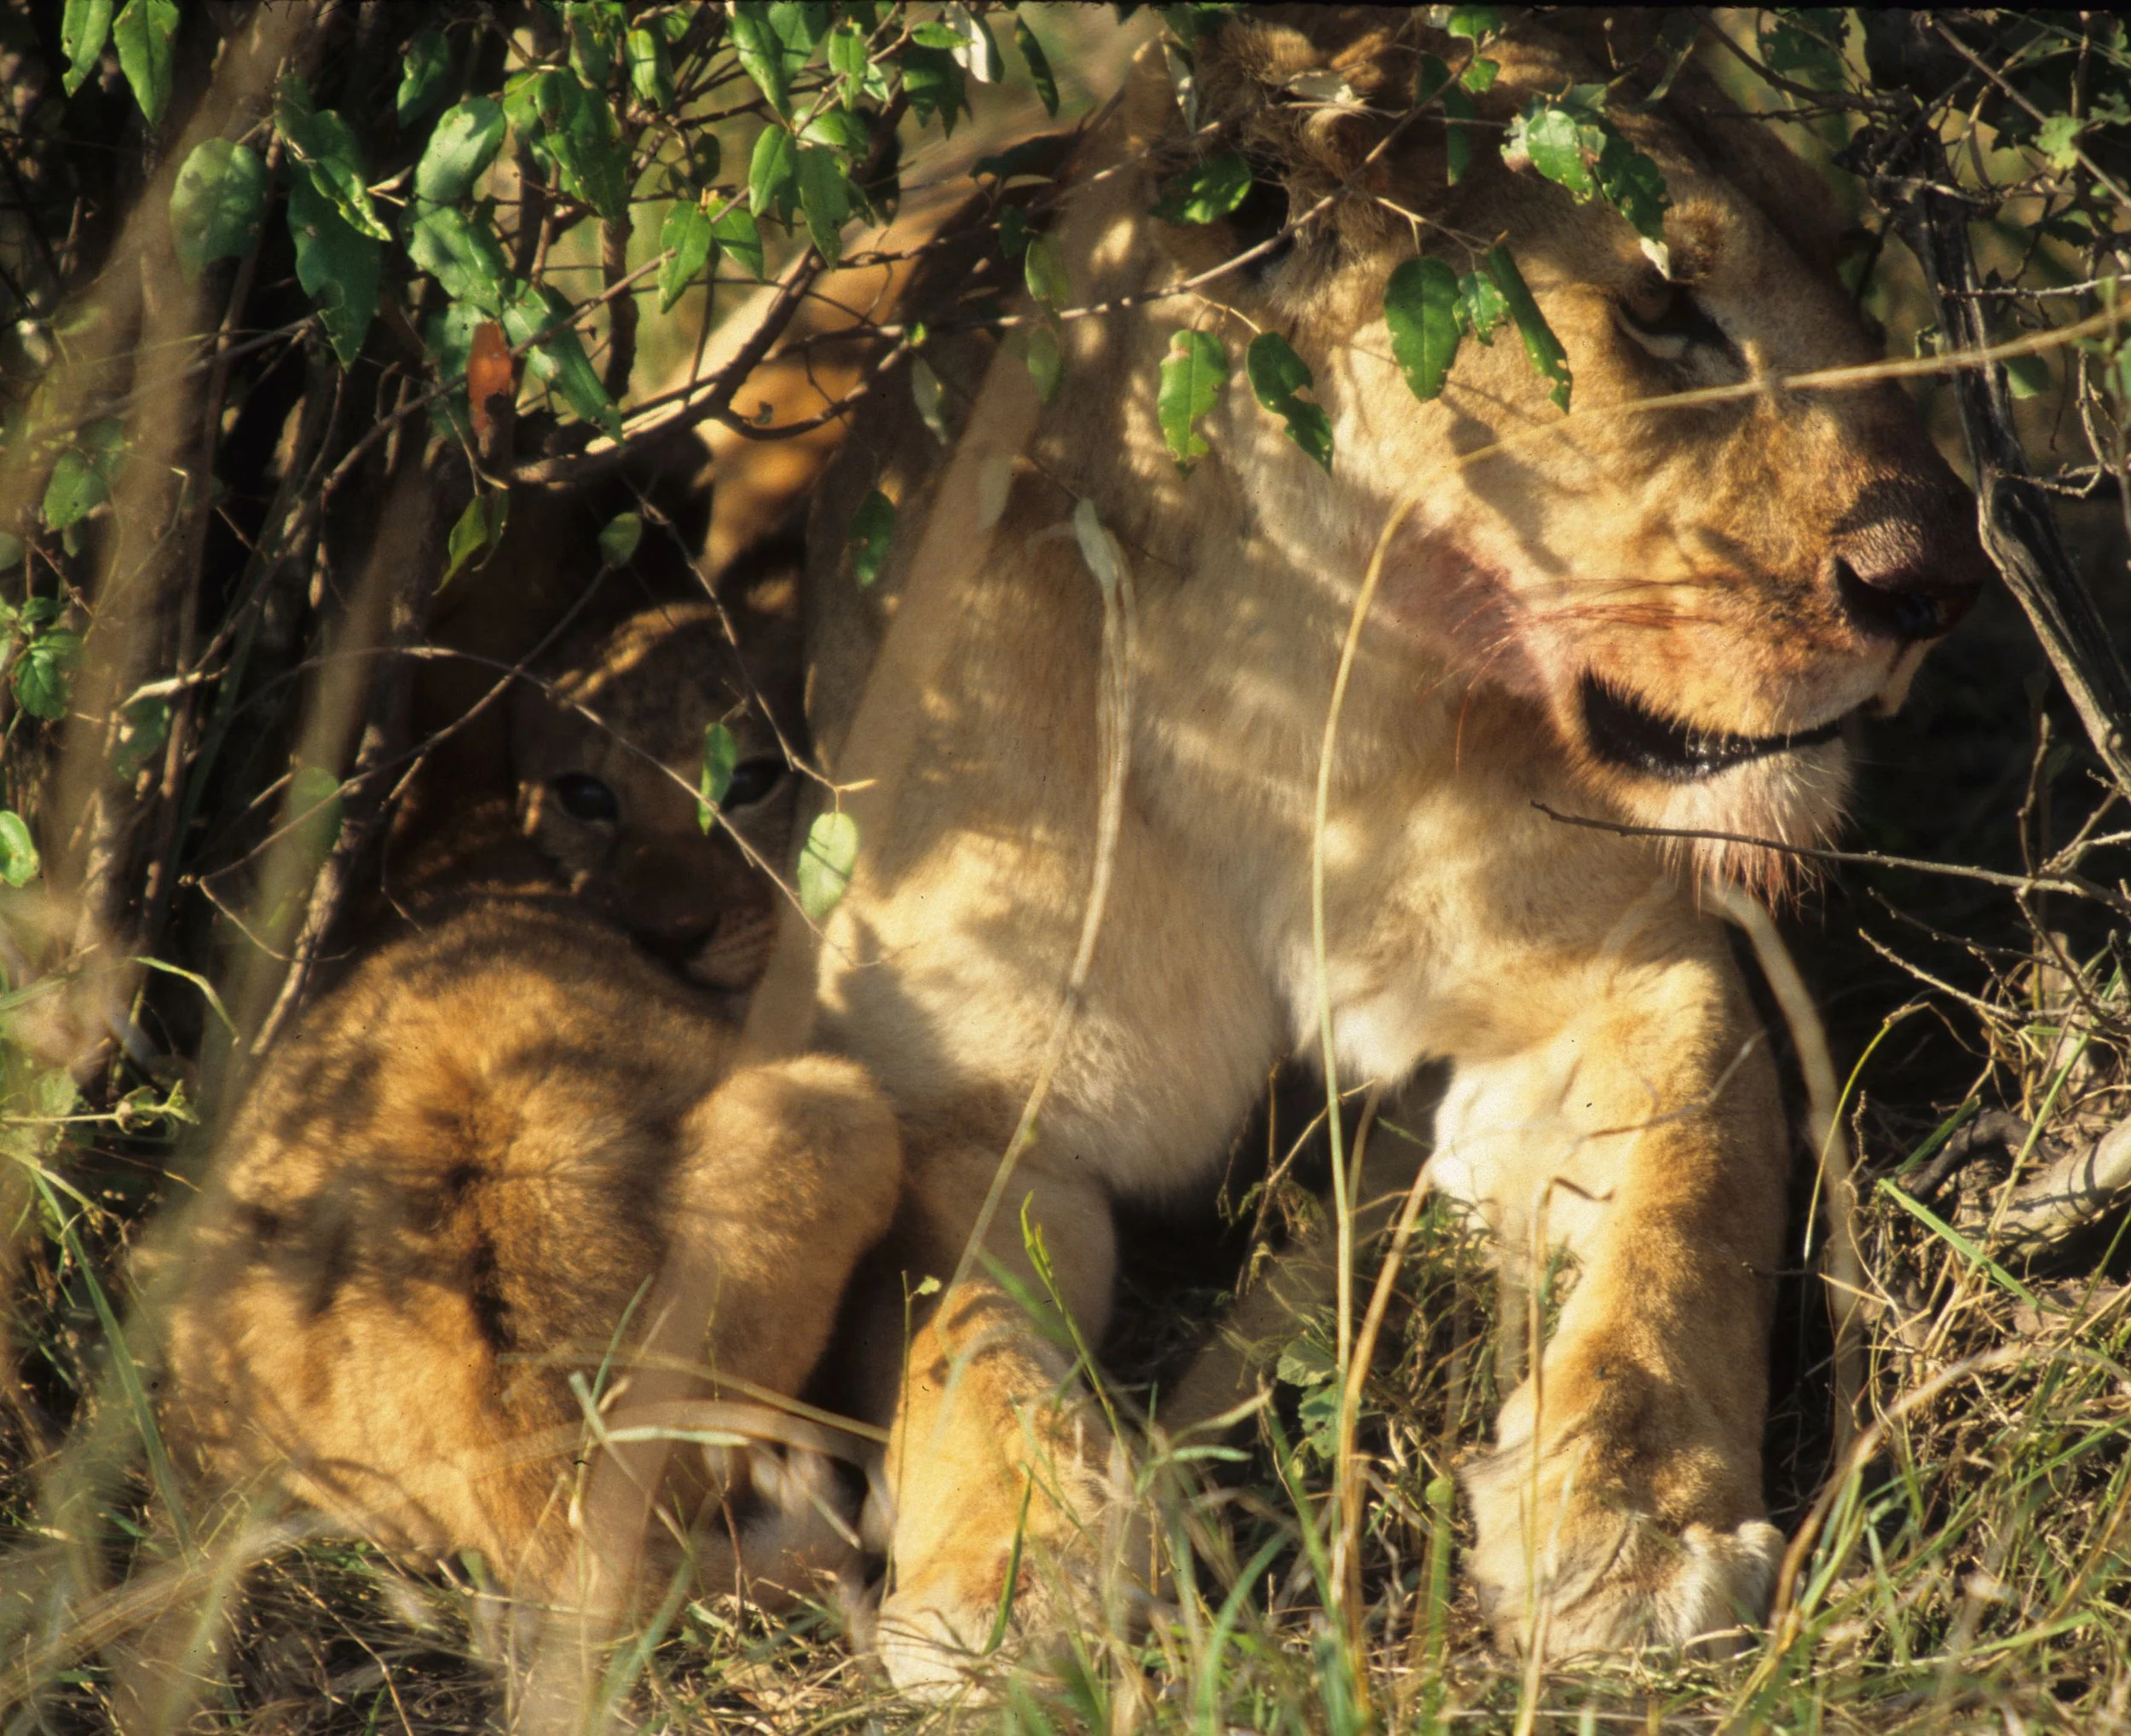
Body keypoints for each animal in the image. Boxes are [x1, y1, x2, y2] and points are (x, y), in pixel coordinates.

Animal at [792, 8, 1987, 1689]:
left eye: (1842, 250)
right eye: (1656, 307)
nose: (1940, 580)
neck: (1291, 712)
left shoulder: (1622, 979)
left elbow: (1692, 1203)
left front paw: (1631, 1517)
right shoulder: (958, 1102)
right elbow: (961, 1331)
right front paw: (1012, 1577)